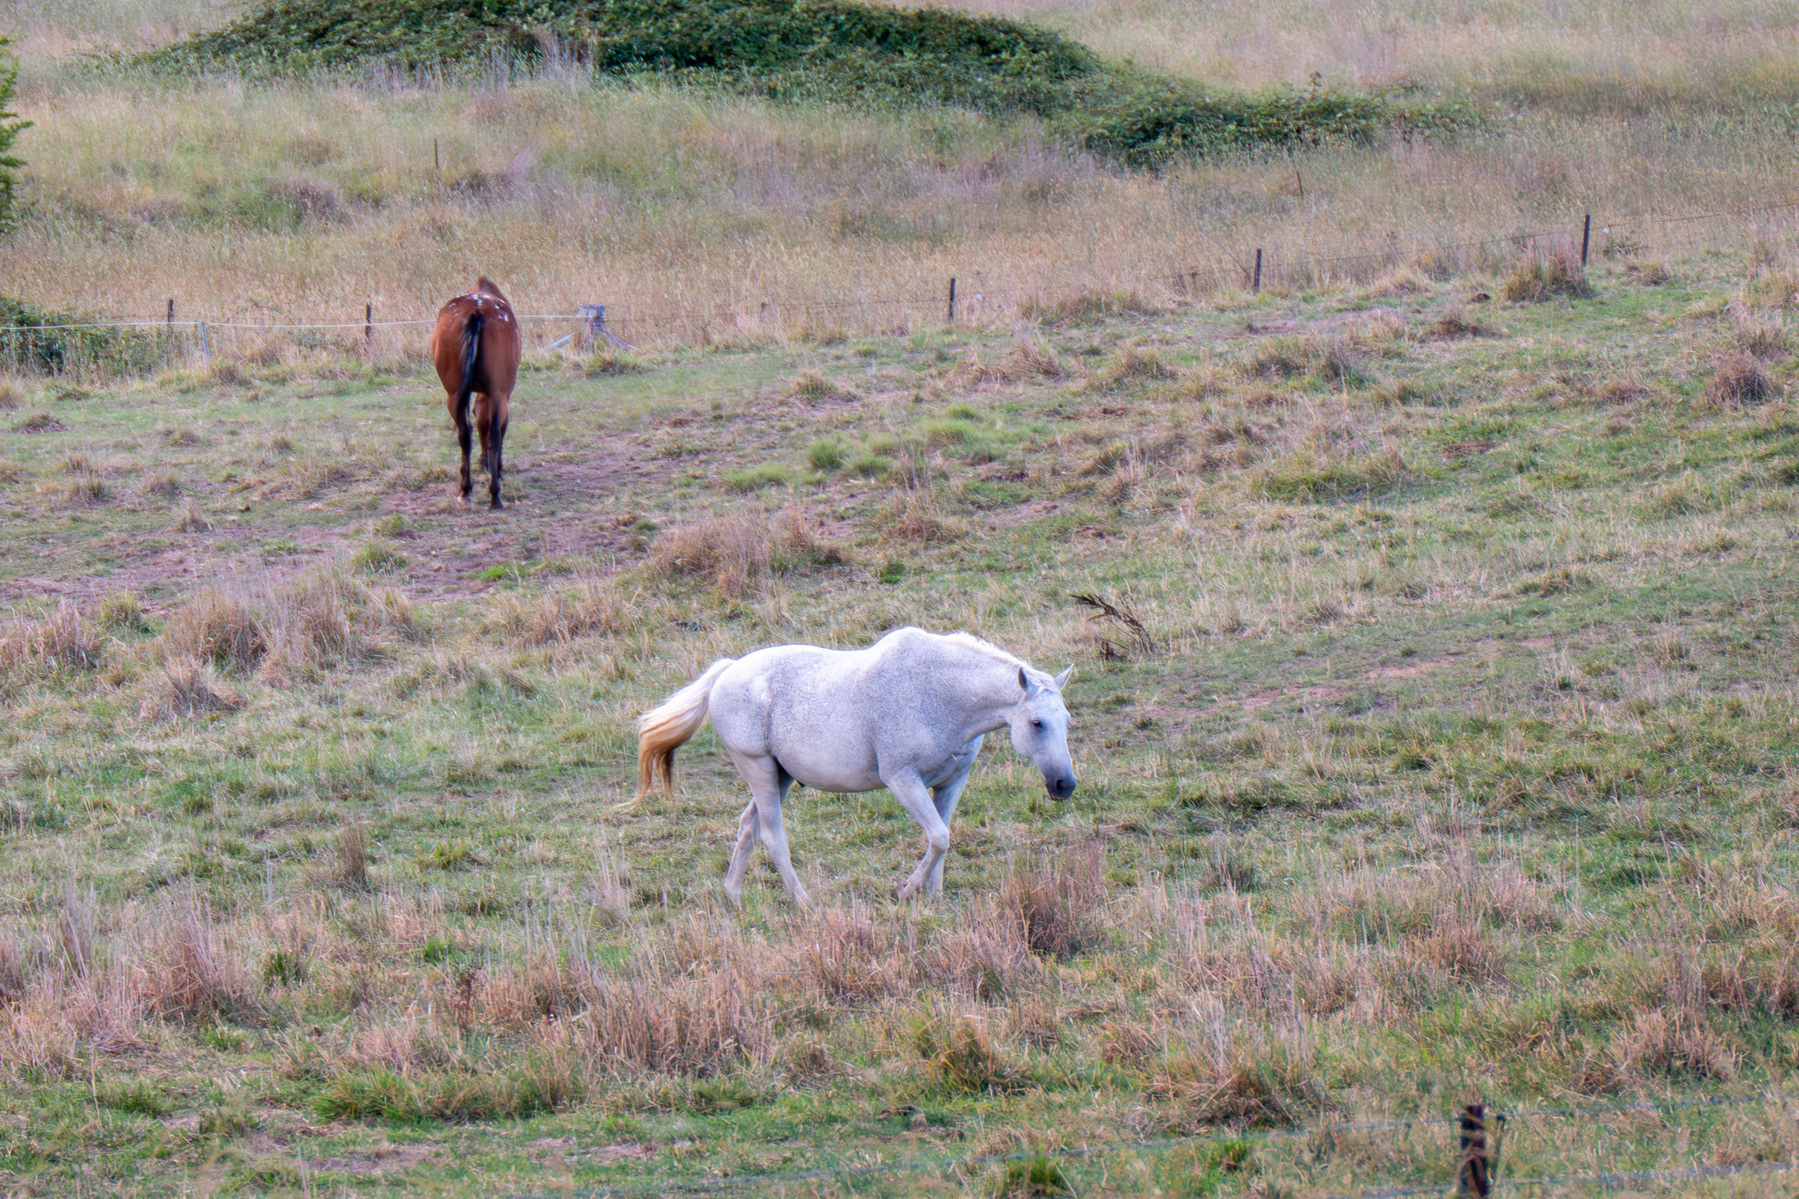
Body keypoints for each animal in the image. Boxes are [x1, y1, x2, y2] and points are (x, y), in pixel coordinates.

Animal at [428, 277, 521, 507]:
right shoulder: (503, 393)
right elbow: (499, 428)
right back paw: (495, 493)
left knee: (464, 433)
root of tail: (476, 310)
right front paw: (497, 466)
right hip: (498, 394)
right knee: (496, 432)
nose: (484, 460)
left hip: (454, 395)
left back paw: (465, 489)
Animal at [640, 630, 1072, 900]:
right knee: (772, 837)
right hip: (758, 770)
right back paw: (805, 903)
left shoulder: (951, 782)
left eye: (1066, 721)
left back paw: (733, 895)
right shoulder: (901, 778)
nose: (1064, 785)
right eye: (1037, 723)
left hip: (779, 777)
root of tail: (726, 672)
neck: (939, 693)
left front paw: (933, 897)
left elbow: (943, 839)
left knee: (748, 826)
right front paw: (907, 890)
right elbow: (938, 837)